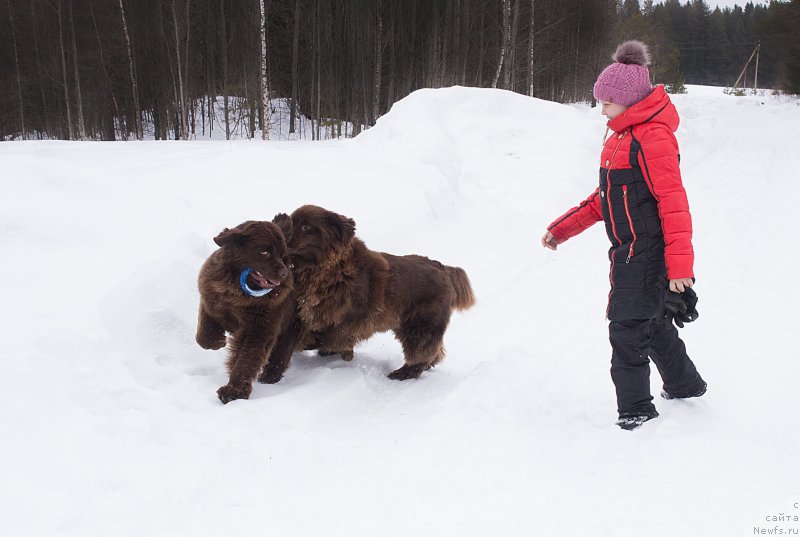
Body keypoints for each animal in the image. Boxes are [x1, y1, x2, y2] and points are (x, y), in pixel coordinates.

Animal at [197, 218, 304, 402]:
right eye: (264, 252)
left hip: (290, 331)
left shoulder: (258, 330)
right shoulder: (211, 300)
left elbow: (246, 361)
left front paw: (234, 391)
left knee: (280, 357)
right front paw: (217, 342)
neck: (237, 292)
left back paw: (269, 377)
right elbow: (204, 336)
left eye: (282, 255)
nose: (284, 273)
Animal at [288, 203, 476, 378]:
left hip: (421, 323)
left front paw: (316, 345)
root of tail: (444, 268)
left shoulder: (357, 317)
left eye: (306, 227)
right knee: (434, 352)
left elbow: (333, 336)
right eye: (291, 221)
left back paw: (401, 374)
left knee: (421, 352)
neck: (330, 271)